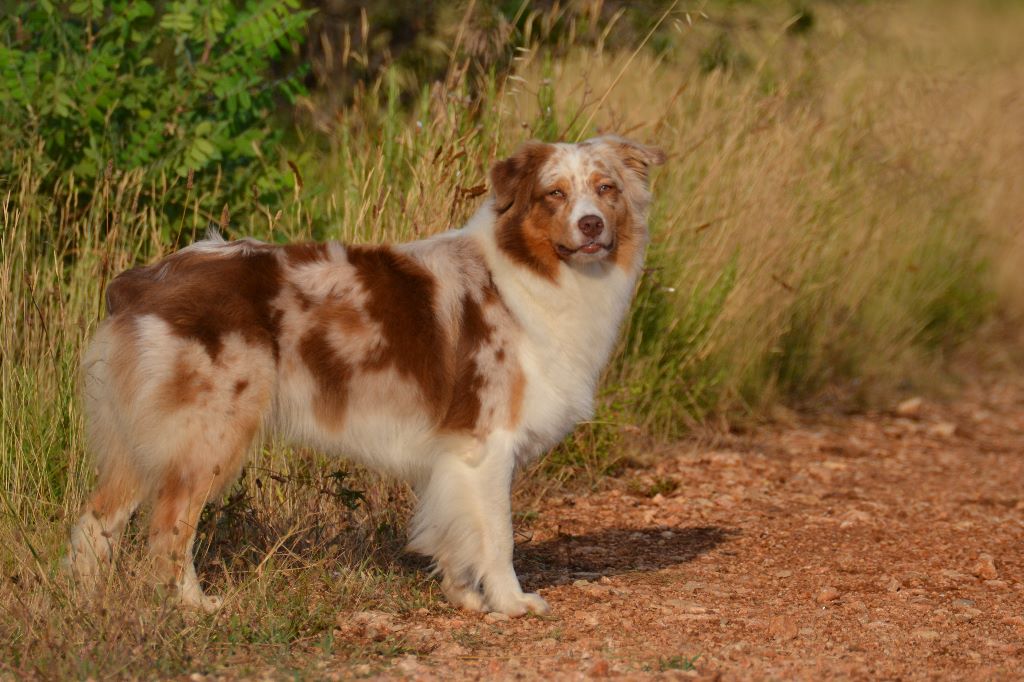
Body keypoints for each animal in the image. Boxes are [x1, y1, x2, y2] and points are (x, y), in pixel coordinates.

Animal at [68, 135, 667, 614]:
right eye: (554, 194)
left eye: (606, 188)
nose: (591, 225)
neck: (532, 272)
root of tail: (140, 282)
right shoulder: (487, 441)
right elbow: (497, 536)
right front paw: (512, 603)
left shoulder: (456, 456)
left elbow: (456, 533)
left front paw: (466, 598)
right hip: (208, 433)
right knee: (168, 528)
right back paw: (196, 608)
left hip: (141, 440)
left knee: (96, 521)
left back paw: (89, 605)